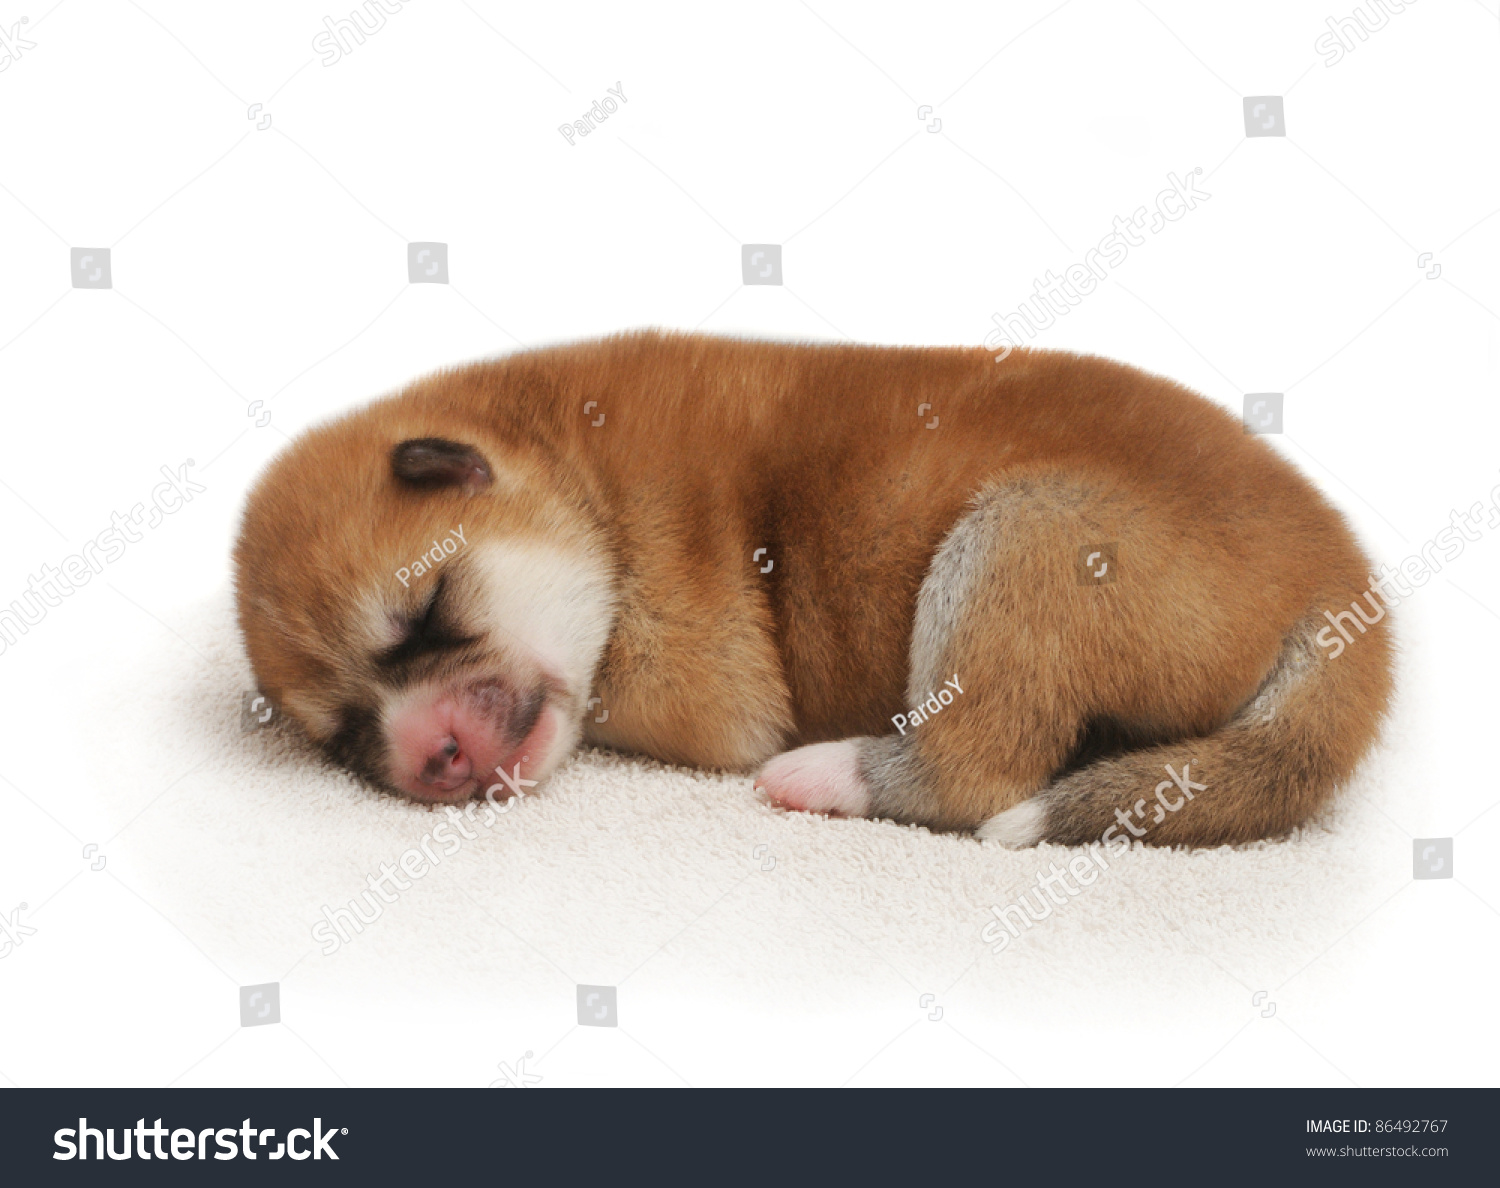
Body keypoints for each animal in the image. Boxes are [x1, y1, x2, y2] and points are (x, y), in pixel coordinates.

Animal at [234, 330, 1392, 852]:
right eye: (346, 734)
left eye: (426, 611)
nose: (433, 757)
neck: (574, 473)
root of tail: (1340, 586)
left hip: (1023, 544)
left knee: (980, 767)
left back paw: (826, 777)